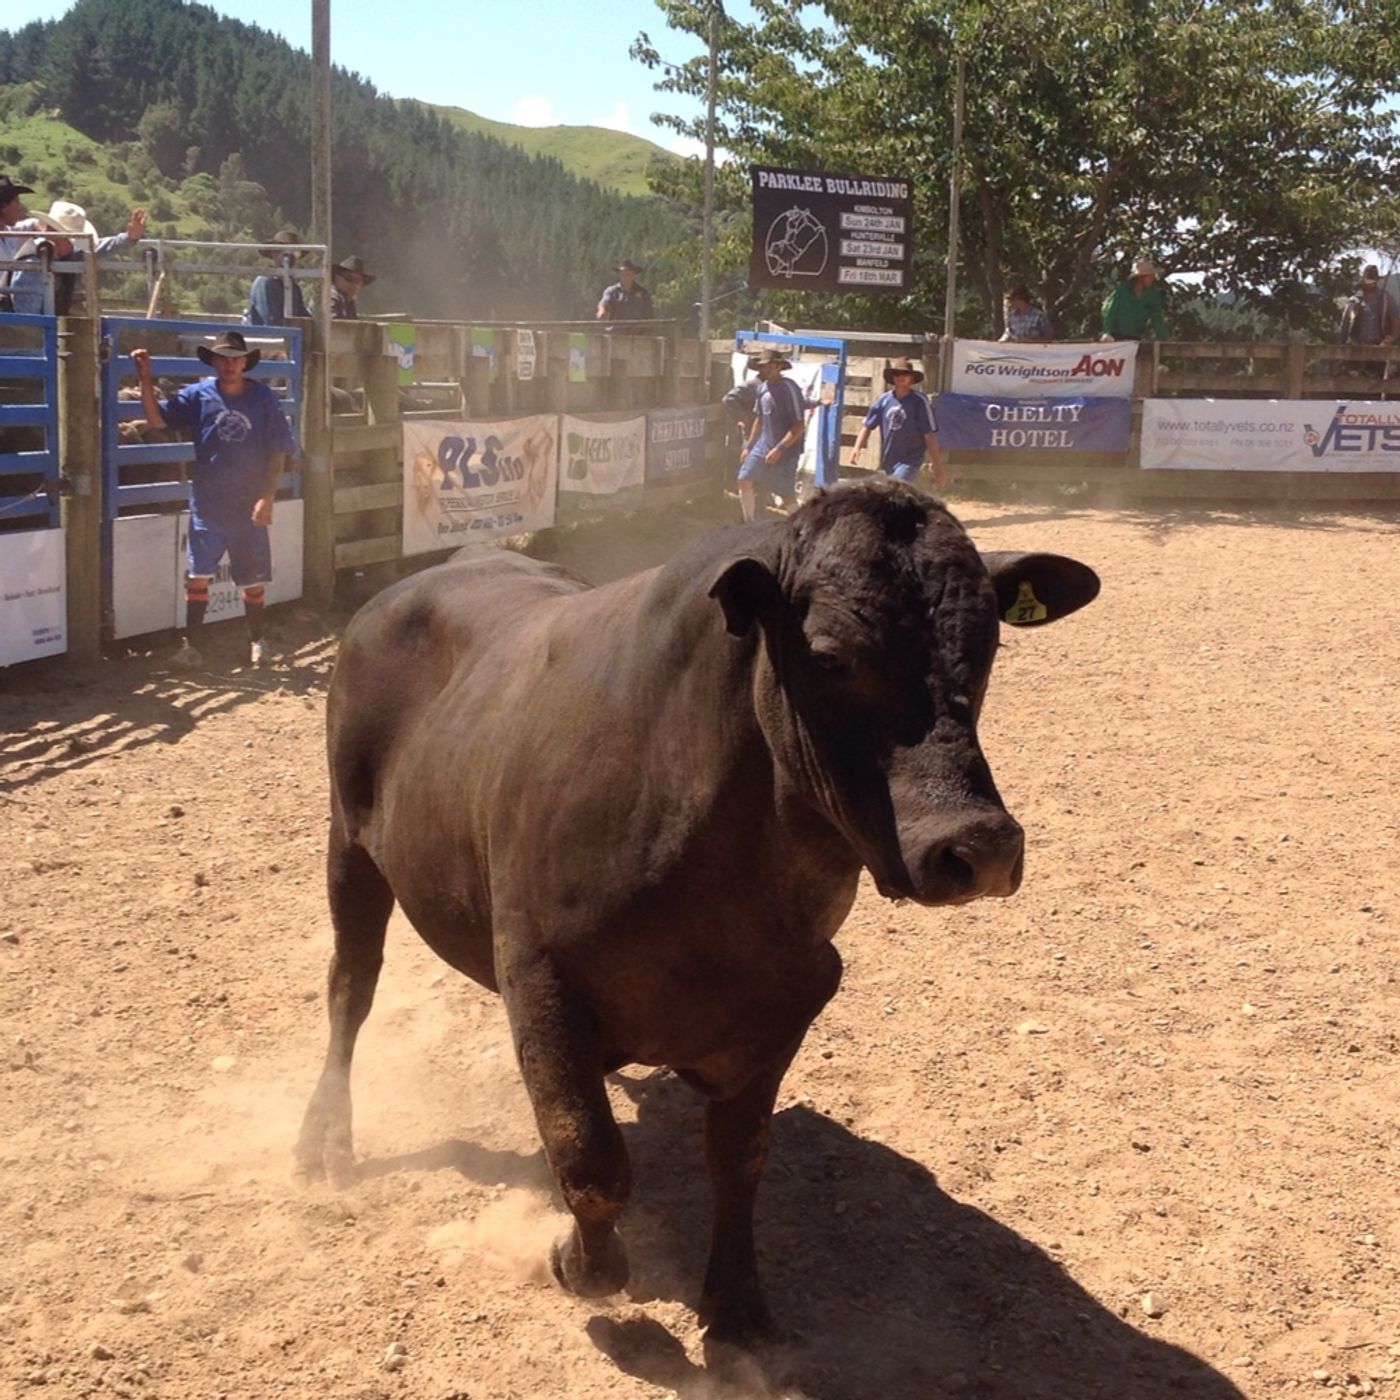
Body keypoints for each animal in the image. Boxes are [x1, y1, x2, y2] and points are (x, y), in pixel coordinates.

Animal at [295, 478, 1099, 1349]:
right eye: (829, 658)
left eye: (986, 649)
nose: (978, 845)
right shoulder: (539, 973)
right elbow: (591, 1158)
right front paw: (582, 1266)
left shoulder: (790, 1000)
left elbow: (739, 1159)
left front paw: (737, 1301)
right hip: (349, 845)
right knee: (351, 987)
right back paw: (324, 1138)